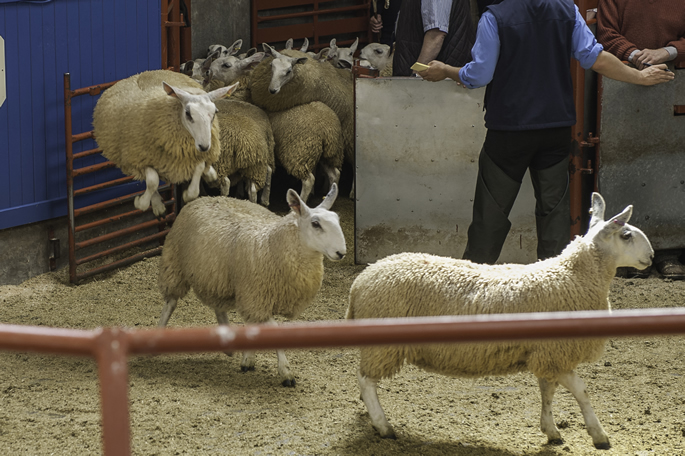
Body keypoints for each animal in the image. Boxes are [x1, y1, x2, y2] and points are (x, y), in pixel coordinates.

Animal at [92, 70, 236, 217]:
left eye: (215, 112)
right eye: (188, 113)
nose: (204, 146)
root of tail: (138, 74)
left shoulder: (195, 155)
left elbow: (199, 171)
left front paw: (188, 194)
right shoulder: (139, 158)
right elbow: (152, 182)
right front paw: (141, 203)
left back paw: (210, 174)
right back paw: (157, 205)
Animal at [157, 183, 347, 387]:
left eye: (337, 220)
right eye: (315, 223)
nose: (341, 252)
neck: (273, 243)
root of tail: (205, 197)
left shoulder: (252, 295)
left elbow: (253, 325)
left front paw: (248, 359)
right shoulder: (256, 298)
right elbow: (273, 329)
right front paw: (285, 372)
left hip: (217, 278)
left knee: (218, 307)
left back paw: (229, 346)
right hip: (175, 264)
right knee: (170, 303)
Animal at [346, 192, 654, 450]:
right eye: (626, 235)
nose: (651, 256)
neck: (573, 276)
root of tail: (362, 280)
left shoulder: (545, 353)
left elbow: (547, 390)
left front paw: (551, 430)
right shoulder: (556, 351)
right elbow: (581, 390)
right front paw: (599, 435)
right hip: (383, 344)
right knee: (365, 380)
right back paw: (383, 426)